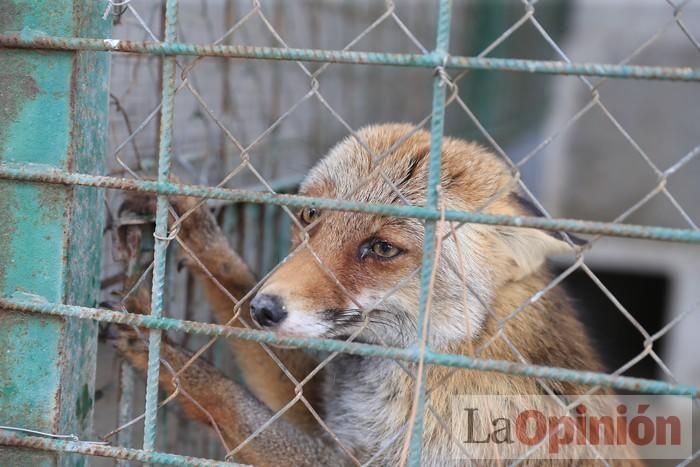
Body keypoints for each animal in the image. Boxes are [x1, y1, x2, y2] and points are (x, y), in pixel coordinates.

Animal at [113, 122, 640, 466]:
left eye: (383, 248)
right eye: (310, 216)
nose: (264, 309)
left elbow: (235, 404)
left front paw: (175, 364)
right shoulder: (330, 420)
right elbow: (233, 288)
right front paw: (193, 224)